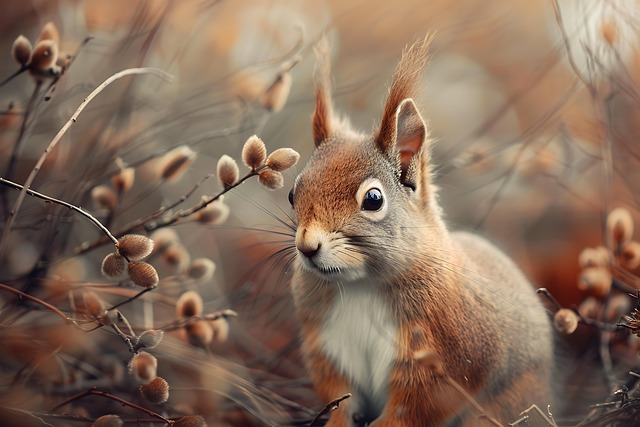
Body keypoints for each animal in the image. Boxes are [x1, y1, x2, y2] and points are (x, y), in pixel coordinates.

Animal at [288, 35, 554, 427]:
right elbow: (338, 397)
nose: (307, 247)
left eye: (373, 199)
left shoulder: (445, 361)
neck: (362, 286)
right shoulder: (326, 345)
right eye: (293, 193)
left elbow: (414, 407)